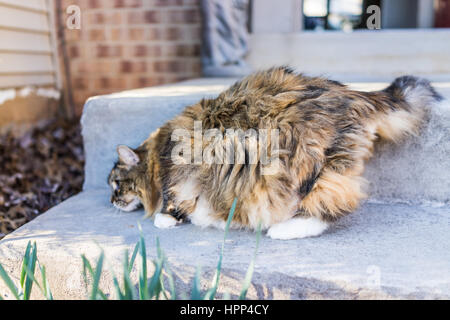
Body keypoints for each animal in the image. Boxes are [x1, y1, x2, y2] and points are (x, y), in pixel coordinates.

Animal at [107, 66, 442, 239]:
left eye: (115, 184)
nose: (111, 201)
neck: (156, 152)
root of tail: (353, 93)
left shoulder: (174, 171)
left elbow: (170, 200)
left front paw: (165, 218)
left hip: (303, 165)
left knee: (329, 208)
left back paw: (281, 229)